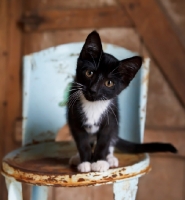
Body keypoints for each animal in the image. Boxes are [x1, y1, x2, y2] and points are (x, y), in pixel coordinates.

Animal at [67, 30, 177, 173]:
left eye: (109, 83)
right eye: (89, 73)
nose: (93, 90)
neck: (93, 105)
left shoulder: (111, 120)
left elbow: (104, 142)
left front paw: (99, 161)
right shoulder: (74, 119)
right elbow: (82, 142)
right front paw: (85, 162)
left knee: (111, 140)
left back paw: (110, 158)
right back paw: (77, 157)